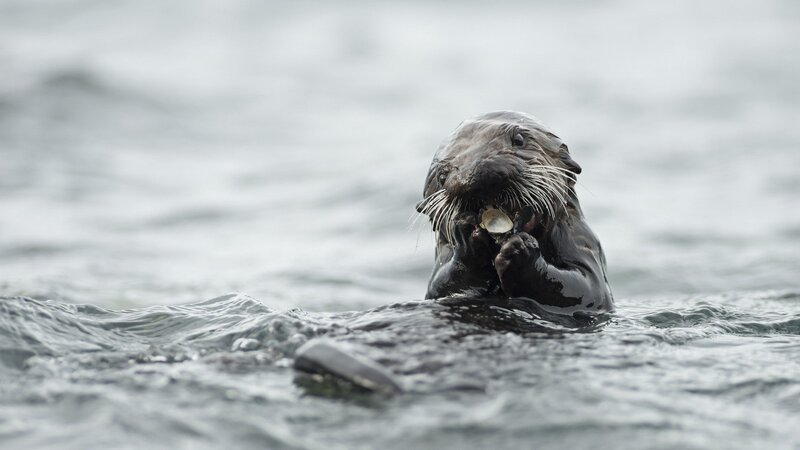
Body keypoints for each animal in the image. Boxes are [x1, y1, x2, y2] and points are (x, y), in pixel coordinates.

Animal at [417, 111, 614, 312]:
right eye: (441, 176)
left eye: (519, 140)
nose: (475, 175)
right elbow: (442, 286)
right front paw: (468, 240)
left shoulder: (582, 243)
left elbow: (587, 287)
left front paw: (520, 249)